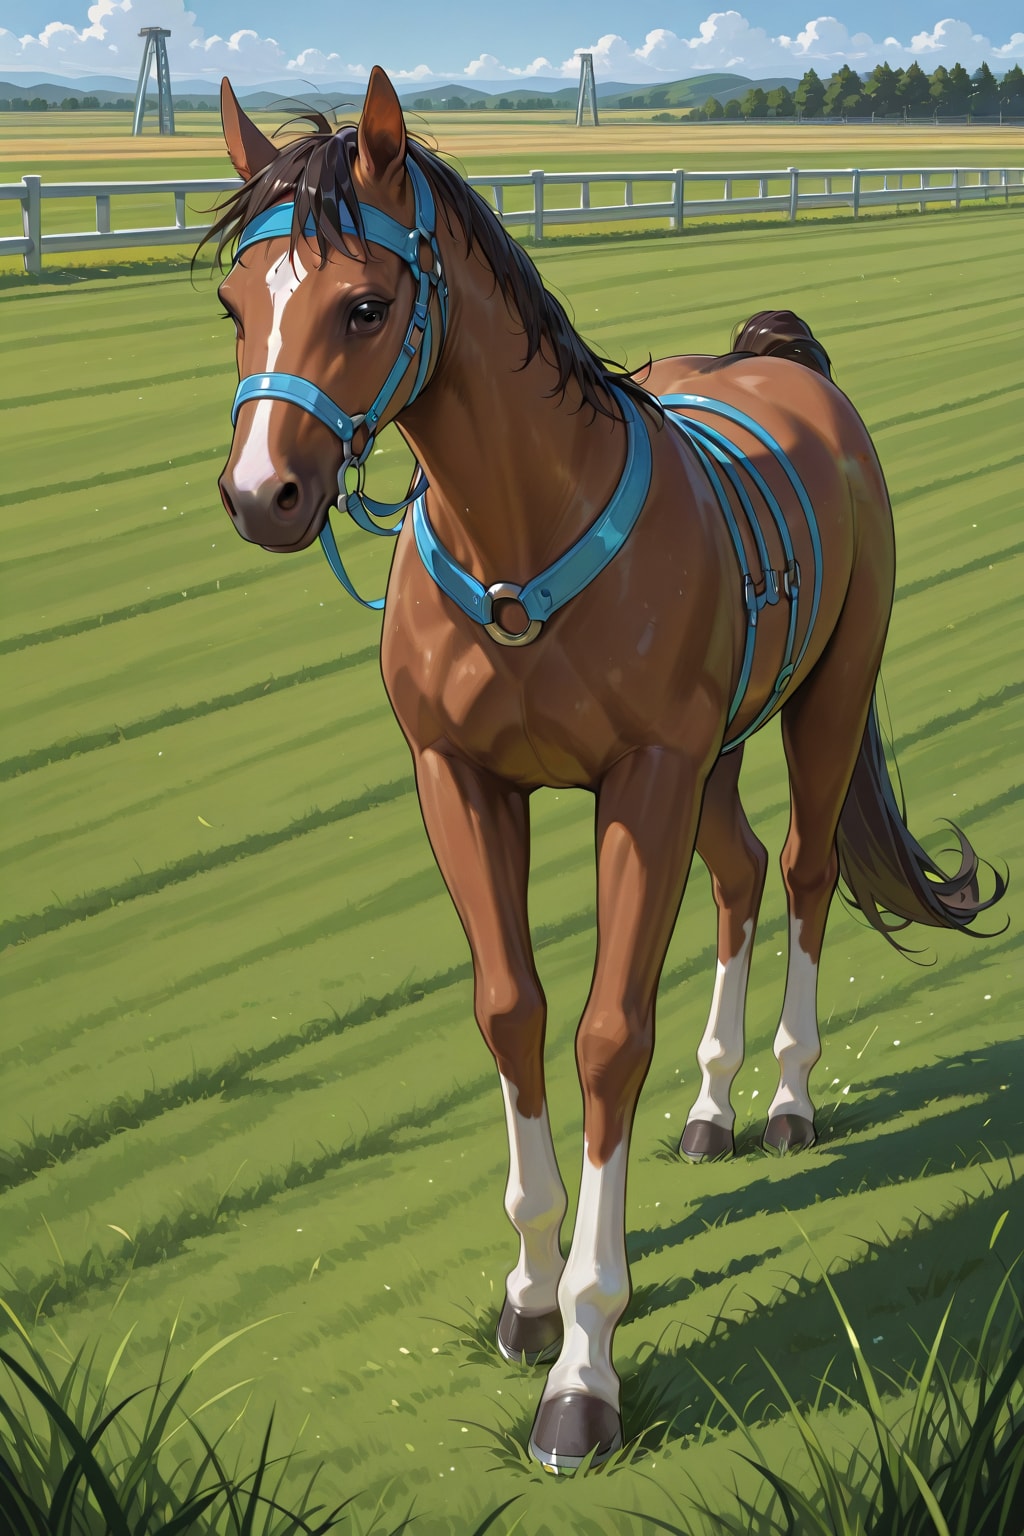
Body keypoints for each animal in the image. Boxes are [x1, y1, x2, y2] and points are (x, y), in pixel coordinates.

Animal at [203, 67, 1004, 1471]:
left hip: (820, 702)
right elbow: (510, 1011)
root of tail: (780, 360)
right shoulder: (461, 779)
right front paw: (527, 1296)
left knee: (801, 872)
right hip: (717, 755)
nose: (264, 495)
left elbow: (606, 1037)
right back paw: (714, 1112)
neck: (524, 541)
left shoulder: (641, 784)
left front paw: (584, 1366)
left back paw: (785, 1100)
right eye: (236, 304)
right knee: (739, 873)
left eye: (365, 303)